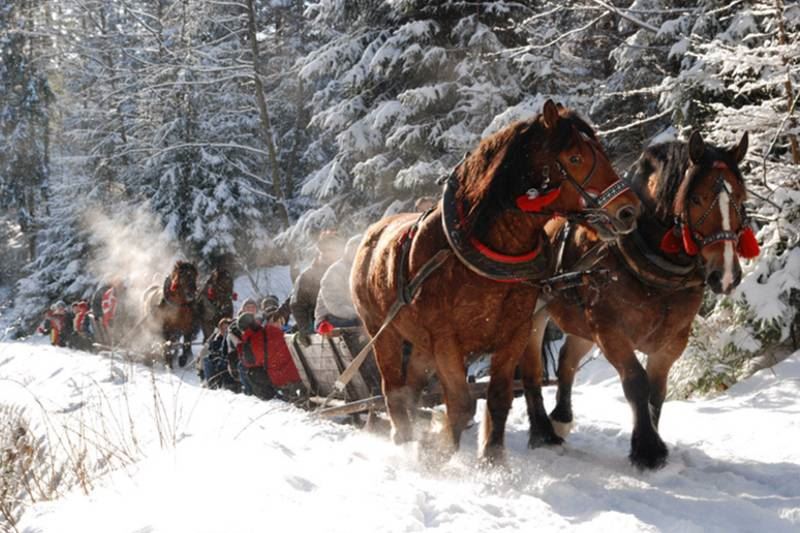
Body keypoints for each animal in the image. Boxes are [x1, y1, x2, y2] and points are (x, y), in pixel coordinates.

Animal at [350, 101, 644, 462]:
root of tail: (370, 234)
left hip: (419, 342)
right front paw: (438, 457)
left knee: (413, 388)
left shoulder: (514, 332)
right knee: (392, 389)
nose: (629, 211)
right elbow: (461, 404)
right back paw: (404, 440)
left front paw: (493, 460)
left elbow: (499, 399)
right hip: (383, 333)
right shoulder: (446, 339)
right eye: (575, 157)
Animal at [524, 131, 756, 468]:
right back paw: (542, 433)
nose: (725, 274)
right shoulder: (610, 331)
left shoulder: (672, 341)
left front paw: (652, 440)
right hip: (534, 316)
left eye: (740, 199)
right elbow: (636, 382)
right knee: (530, 369)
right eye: (696, 199)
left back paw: (561, 419)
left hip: (581, 323)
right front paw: (647, 450)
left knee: (567, 358)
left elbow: (656, 391)